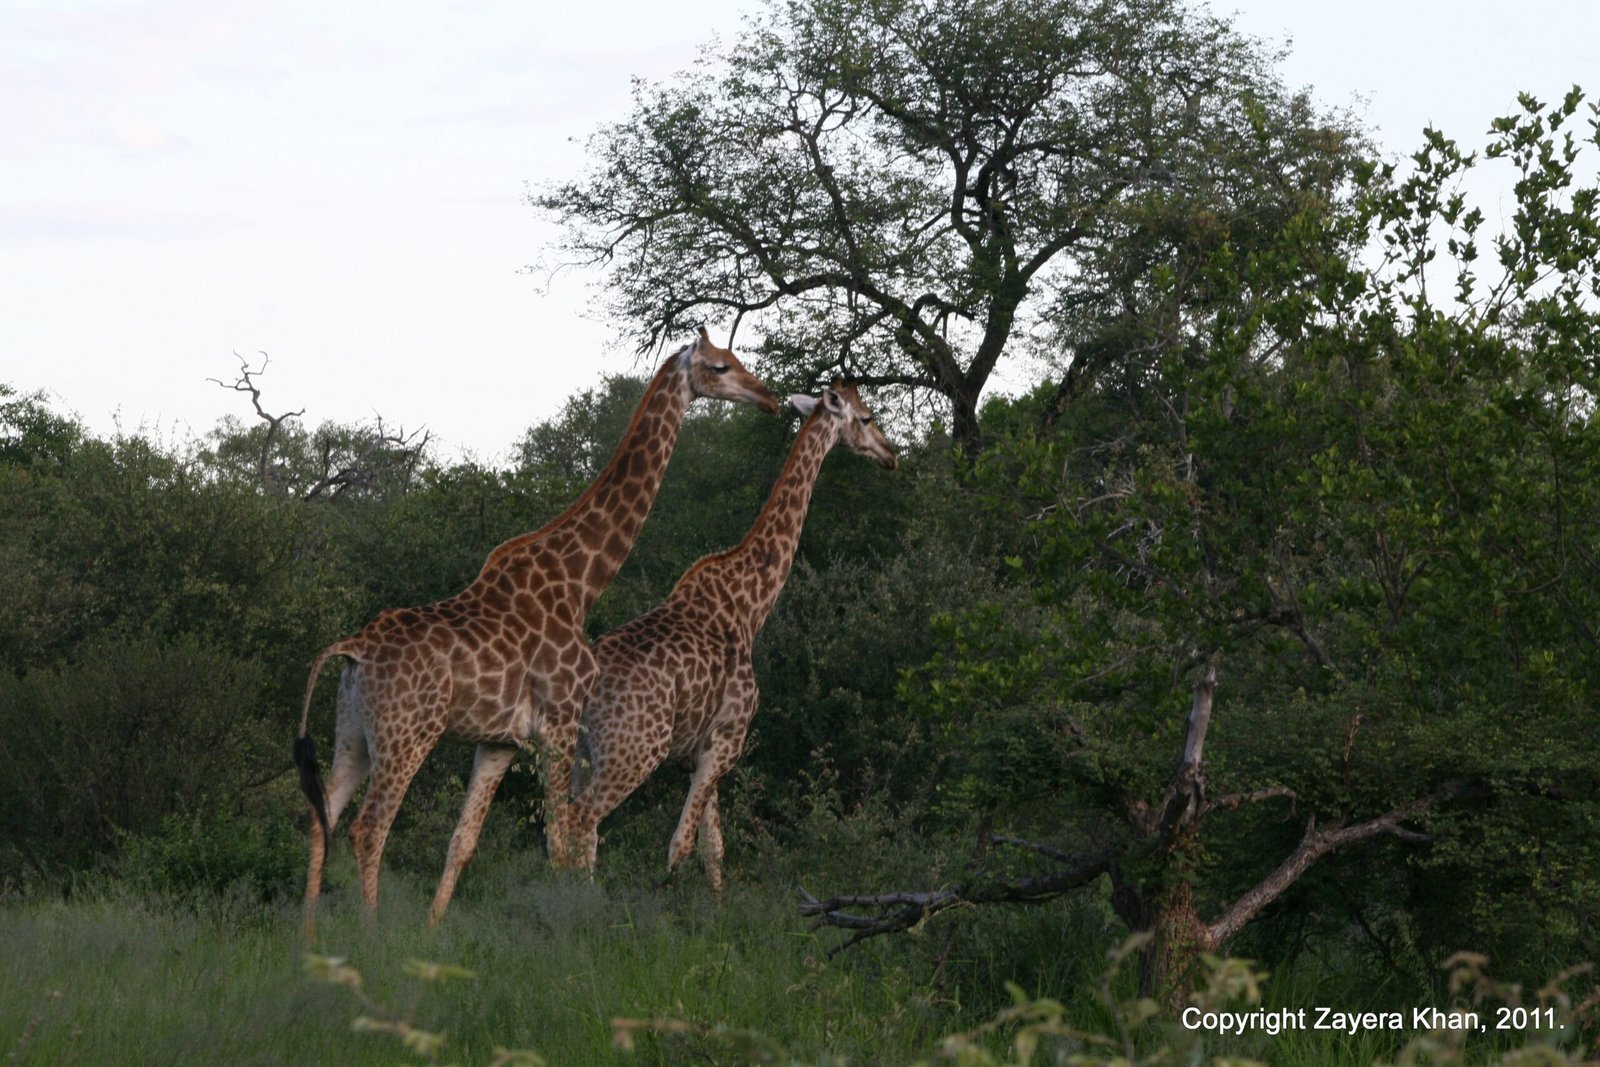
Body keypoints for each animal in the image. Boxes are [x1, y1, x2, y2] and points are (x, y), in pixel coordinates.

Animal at [293, 329, 779, 935]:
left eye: (737, 360)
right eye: (720, 366)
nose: (769, 397)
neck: (580, 583)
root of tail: (352, 649)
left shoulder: (501, 740)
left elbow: (465, 841)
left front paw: (434, 932)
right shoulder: (560, 721)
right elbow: (560, 843)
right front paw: (567, 932)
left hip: (353, 734)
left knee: (323, 815)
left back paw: (308, 938)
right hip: (408, 735)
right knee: (368, 829)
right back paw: (372, 935)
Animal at [566, 381, 897, 893]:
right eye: (865, 418)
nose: (890, 455)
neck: (751, 606)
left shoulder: (705, 751)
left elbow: (714, 849)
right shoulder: (728, 739)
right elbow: (681, 846)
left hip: (584, 755)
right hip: (634, 751)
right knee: (584, 821)